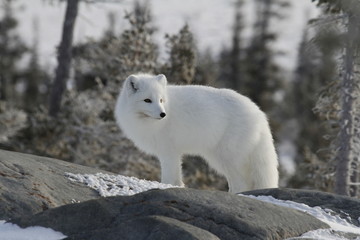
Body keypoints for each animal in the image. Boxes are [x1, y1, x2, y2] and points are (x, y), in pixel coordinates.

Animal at [115, 73, 278, 193]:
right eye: (147, 100)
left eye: (161, 100)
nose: (163, 114)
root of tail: (258, 113)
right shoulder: (172, 153)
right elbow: (176, 178)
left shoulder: (169, 152)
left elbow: (169, 177)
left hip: (227, 157)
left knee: (242, 183)